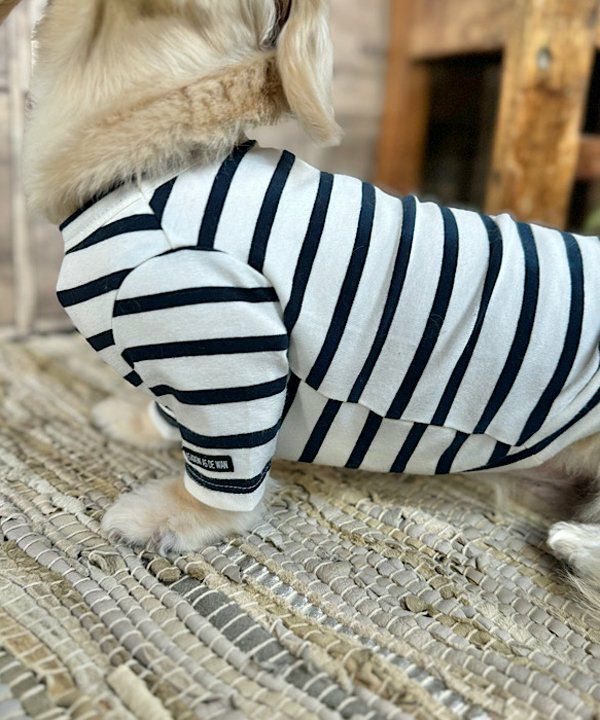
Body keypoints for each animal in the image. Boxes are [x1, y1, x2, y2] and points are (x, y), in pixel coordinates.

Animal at [11, 1, 600, 599]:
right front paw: (138, 421)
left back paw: (577, 545)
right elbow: (167, 411)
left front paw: (169, 516)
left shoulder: (223, 345)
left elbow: (227, 476)